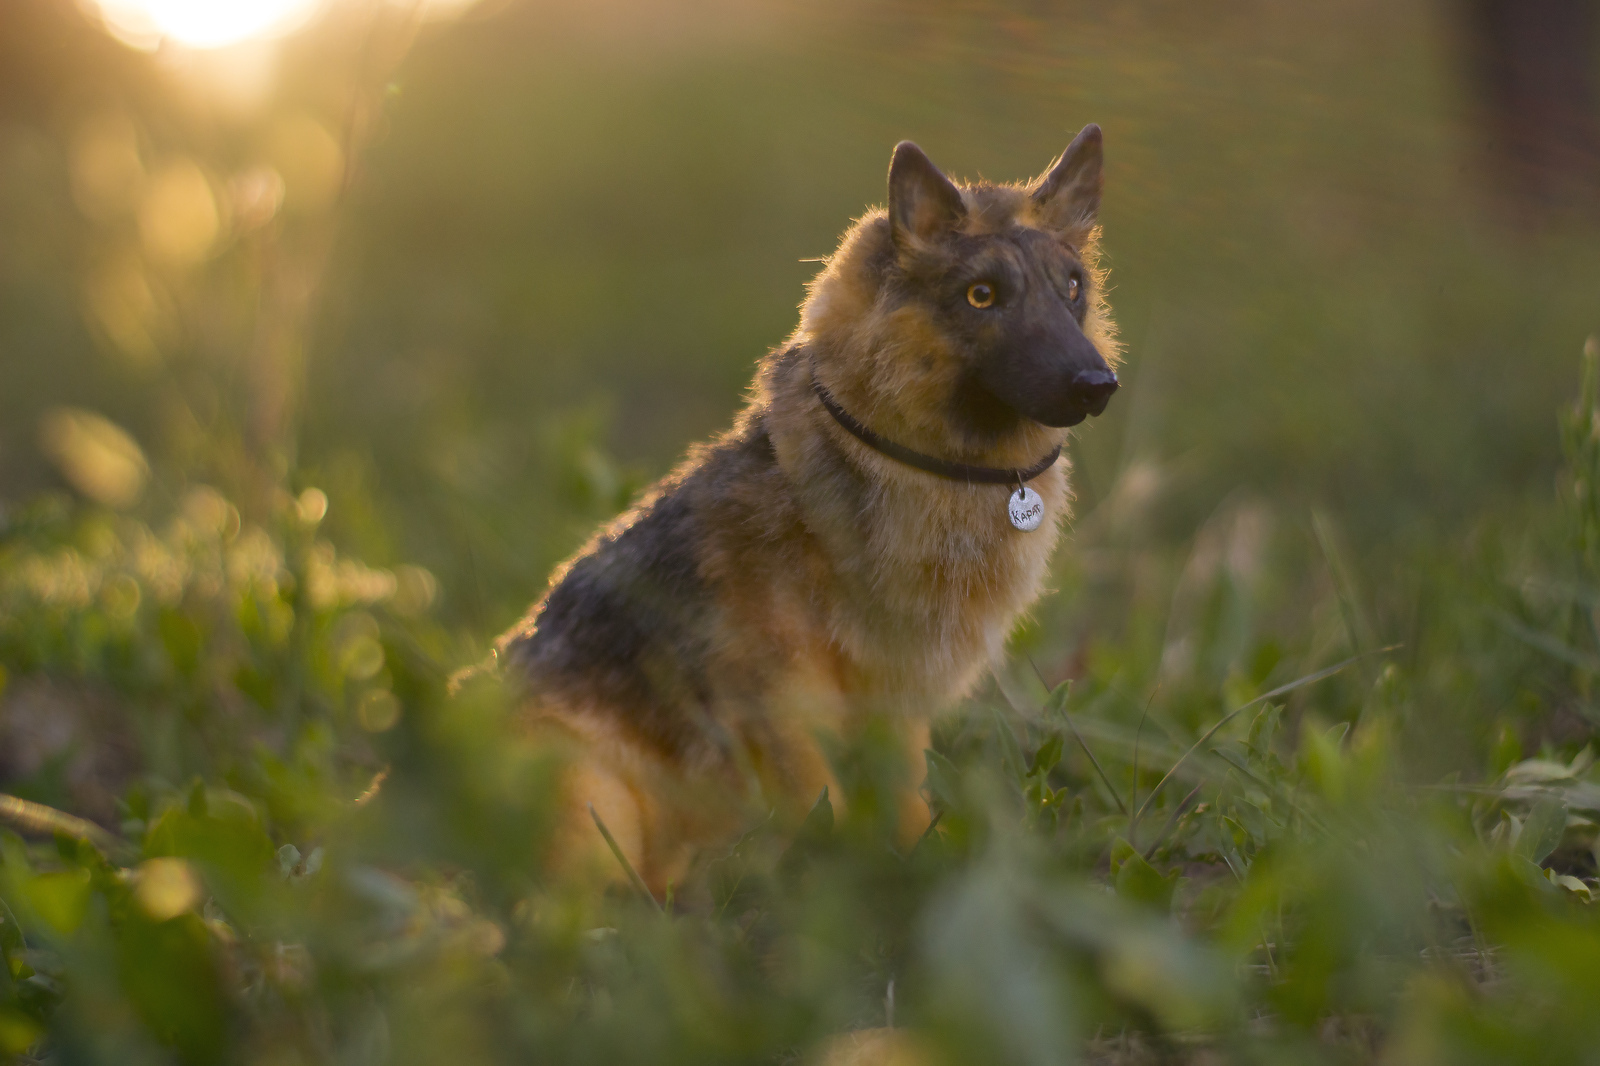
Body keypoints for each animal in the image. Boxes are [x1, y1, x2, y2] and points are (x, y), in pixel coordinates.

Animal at [492, 122, 1120, 889]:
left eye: (1072, 288)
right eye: (982, 296)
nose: (1098, 383)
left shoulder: (897, 705)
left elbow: (904, 803)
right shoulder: (789, 704)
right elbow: (827, 812)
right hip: (596, 808)